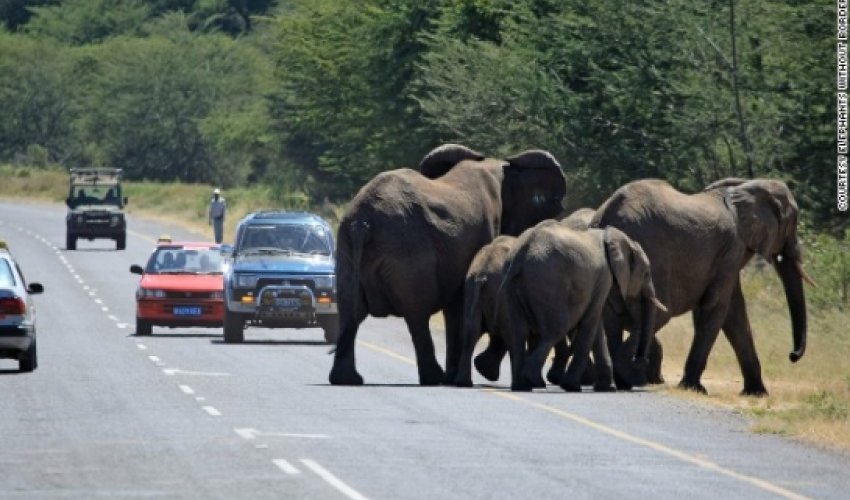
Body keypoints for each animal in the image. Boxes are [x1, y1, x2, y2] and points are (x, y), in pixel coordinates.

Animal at [329, 144, 568, 386]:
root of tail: (363, 222)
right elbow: (464, 306)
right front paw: (464, 374)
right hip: (408, 251)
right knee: (417, 313)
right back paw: (434, 377)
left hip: (347, 250)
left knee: (350, 310)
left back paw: (347, 379)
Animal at [499, 222, 665, 392]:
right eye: (646, 273)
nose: (640, 361)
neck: (612, 236)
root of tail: (522, 252)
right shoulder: (604, 277)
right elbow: (591, 321)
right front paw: (572, 386)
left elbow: (597, 327)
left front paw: (606, 388)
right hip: (548, 281)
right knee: (557, 328)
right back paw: (530, 379)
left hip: (512, 283)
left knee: (518, 332)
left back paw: (521, 386)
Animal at [591, 178, 814, 396]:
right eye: (793, 223)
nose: (792, 355)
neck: (746, 185)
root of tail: (605, 216)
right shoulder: (732, 248)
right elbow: (717, 306)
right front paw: (694, 388)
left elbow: (735, 314)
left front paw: (757, 393)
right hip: (650, 253)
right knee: (658, 314)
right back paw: (631, 376)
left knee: (613, 320)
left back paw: (621, 381)